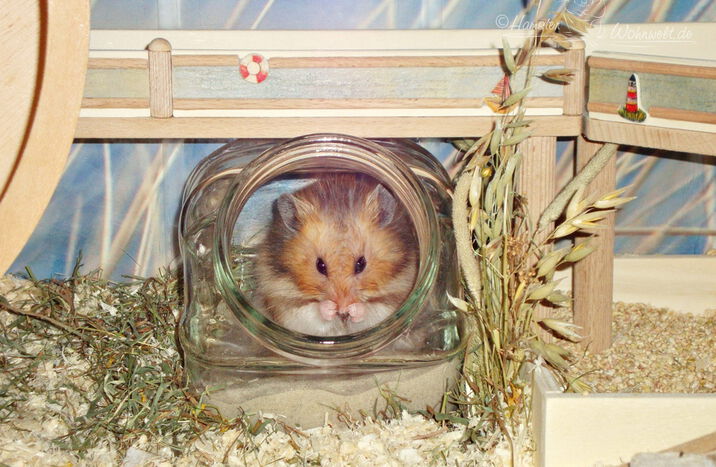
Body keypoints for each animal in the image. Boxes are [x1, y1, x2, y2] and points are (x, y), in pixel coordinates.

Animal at [253, 173, 418, 336]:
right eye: (320, 266)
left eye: (361, 264)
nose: (342, 309)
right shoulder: (284, 298)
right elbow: (312, 310)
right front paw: (330, 308)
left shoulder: (396, 295)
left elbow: (370, 310)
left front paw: (353, 309)